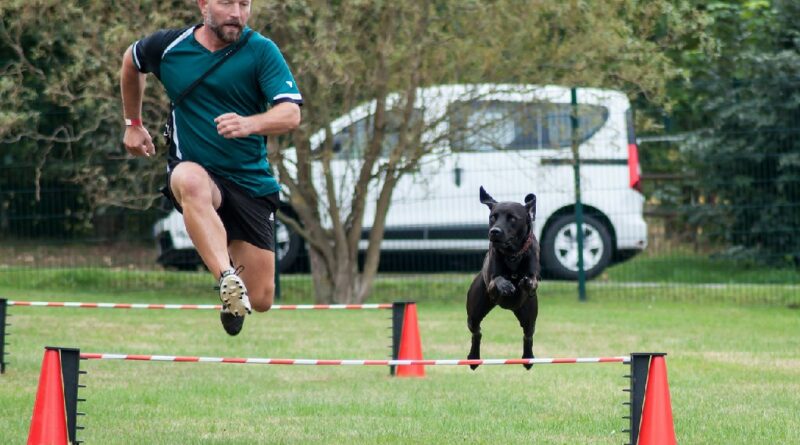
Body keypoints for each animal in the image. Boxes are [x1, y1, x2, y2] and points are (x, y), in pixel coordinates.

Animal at [466, 186, 540, 370]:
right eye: (493, 217)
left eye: (512, 218)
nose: (494, 231)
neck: (512, 255)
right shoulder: (491, 284)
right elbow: (496, 280)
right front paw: (506, 285)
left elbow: (532, 281)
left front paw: (525, 282)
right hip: (475, 312)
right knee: (477, 332)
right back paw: (473, 358)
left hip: (529, 314)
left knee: (528, 335)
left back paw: (528, 358)